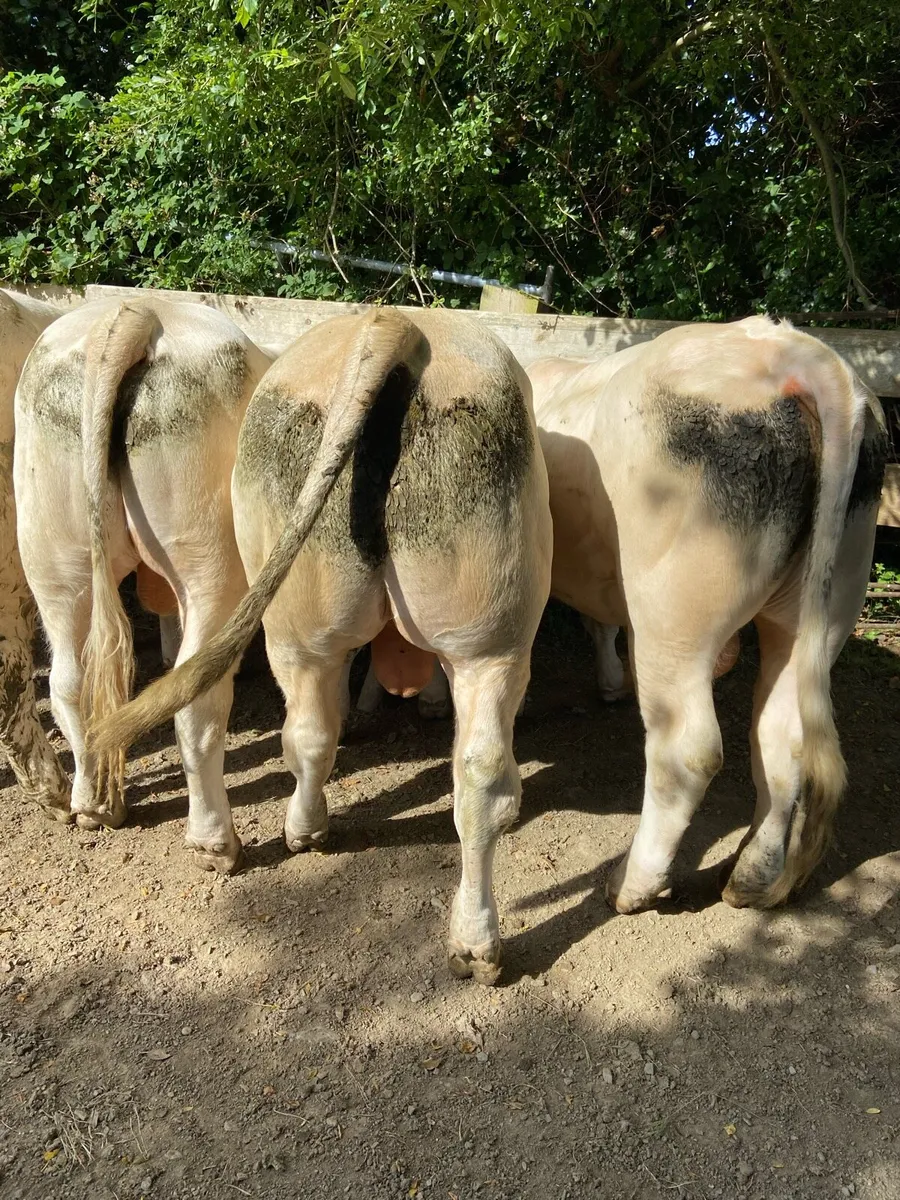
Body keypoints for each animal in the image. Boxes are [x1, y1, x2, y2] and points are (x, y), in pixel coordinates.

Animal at [14, 297, 272, 861]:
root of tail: (136, 313)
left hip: (50, 551)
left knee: (69, 683)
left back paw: (93, 805)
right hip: (211, 556)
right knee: (196, 696)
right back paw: (215, 843)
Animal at [87, 307, 553, 985]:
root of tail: (396, 324)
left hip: (312, 621)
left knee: (304, 730)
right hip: (484, 637)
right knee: (474, 771)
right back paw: (471, 938)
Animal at [528, 316, 887, 913]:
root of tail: (801, 353)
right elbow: (600, 620)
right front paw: (610, 682)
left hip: (672, 614)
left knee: (687, 750)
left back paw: (632, 886)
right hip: (825, 599)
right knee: (783, 735)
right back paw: (750, 878)